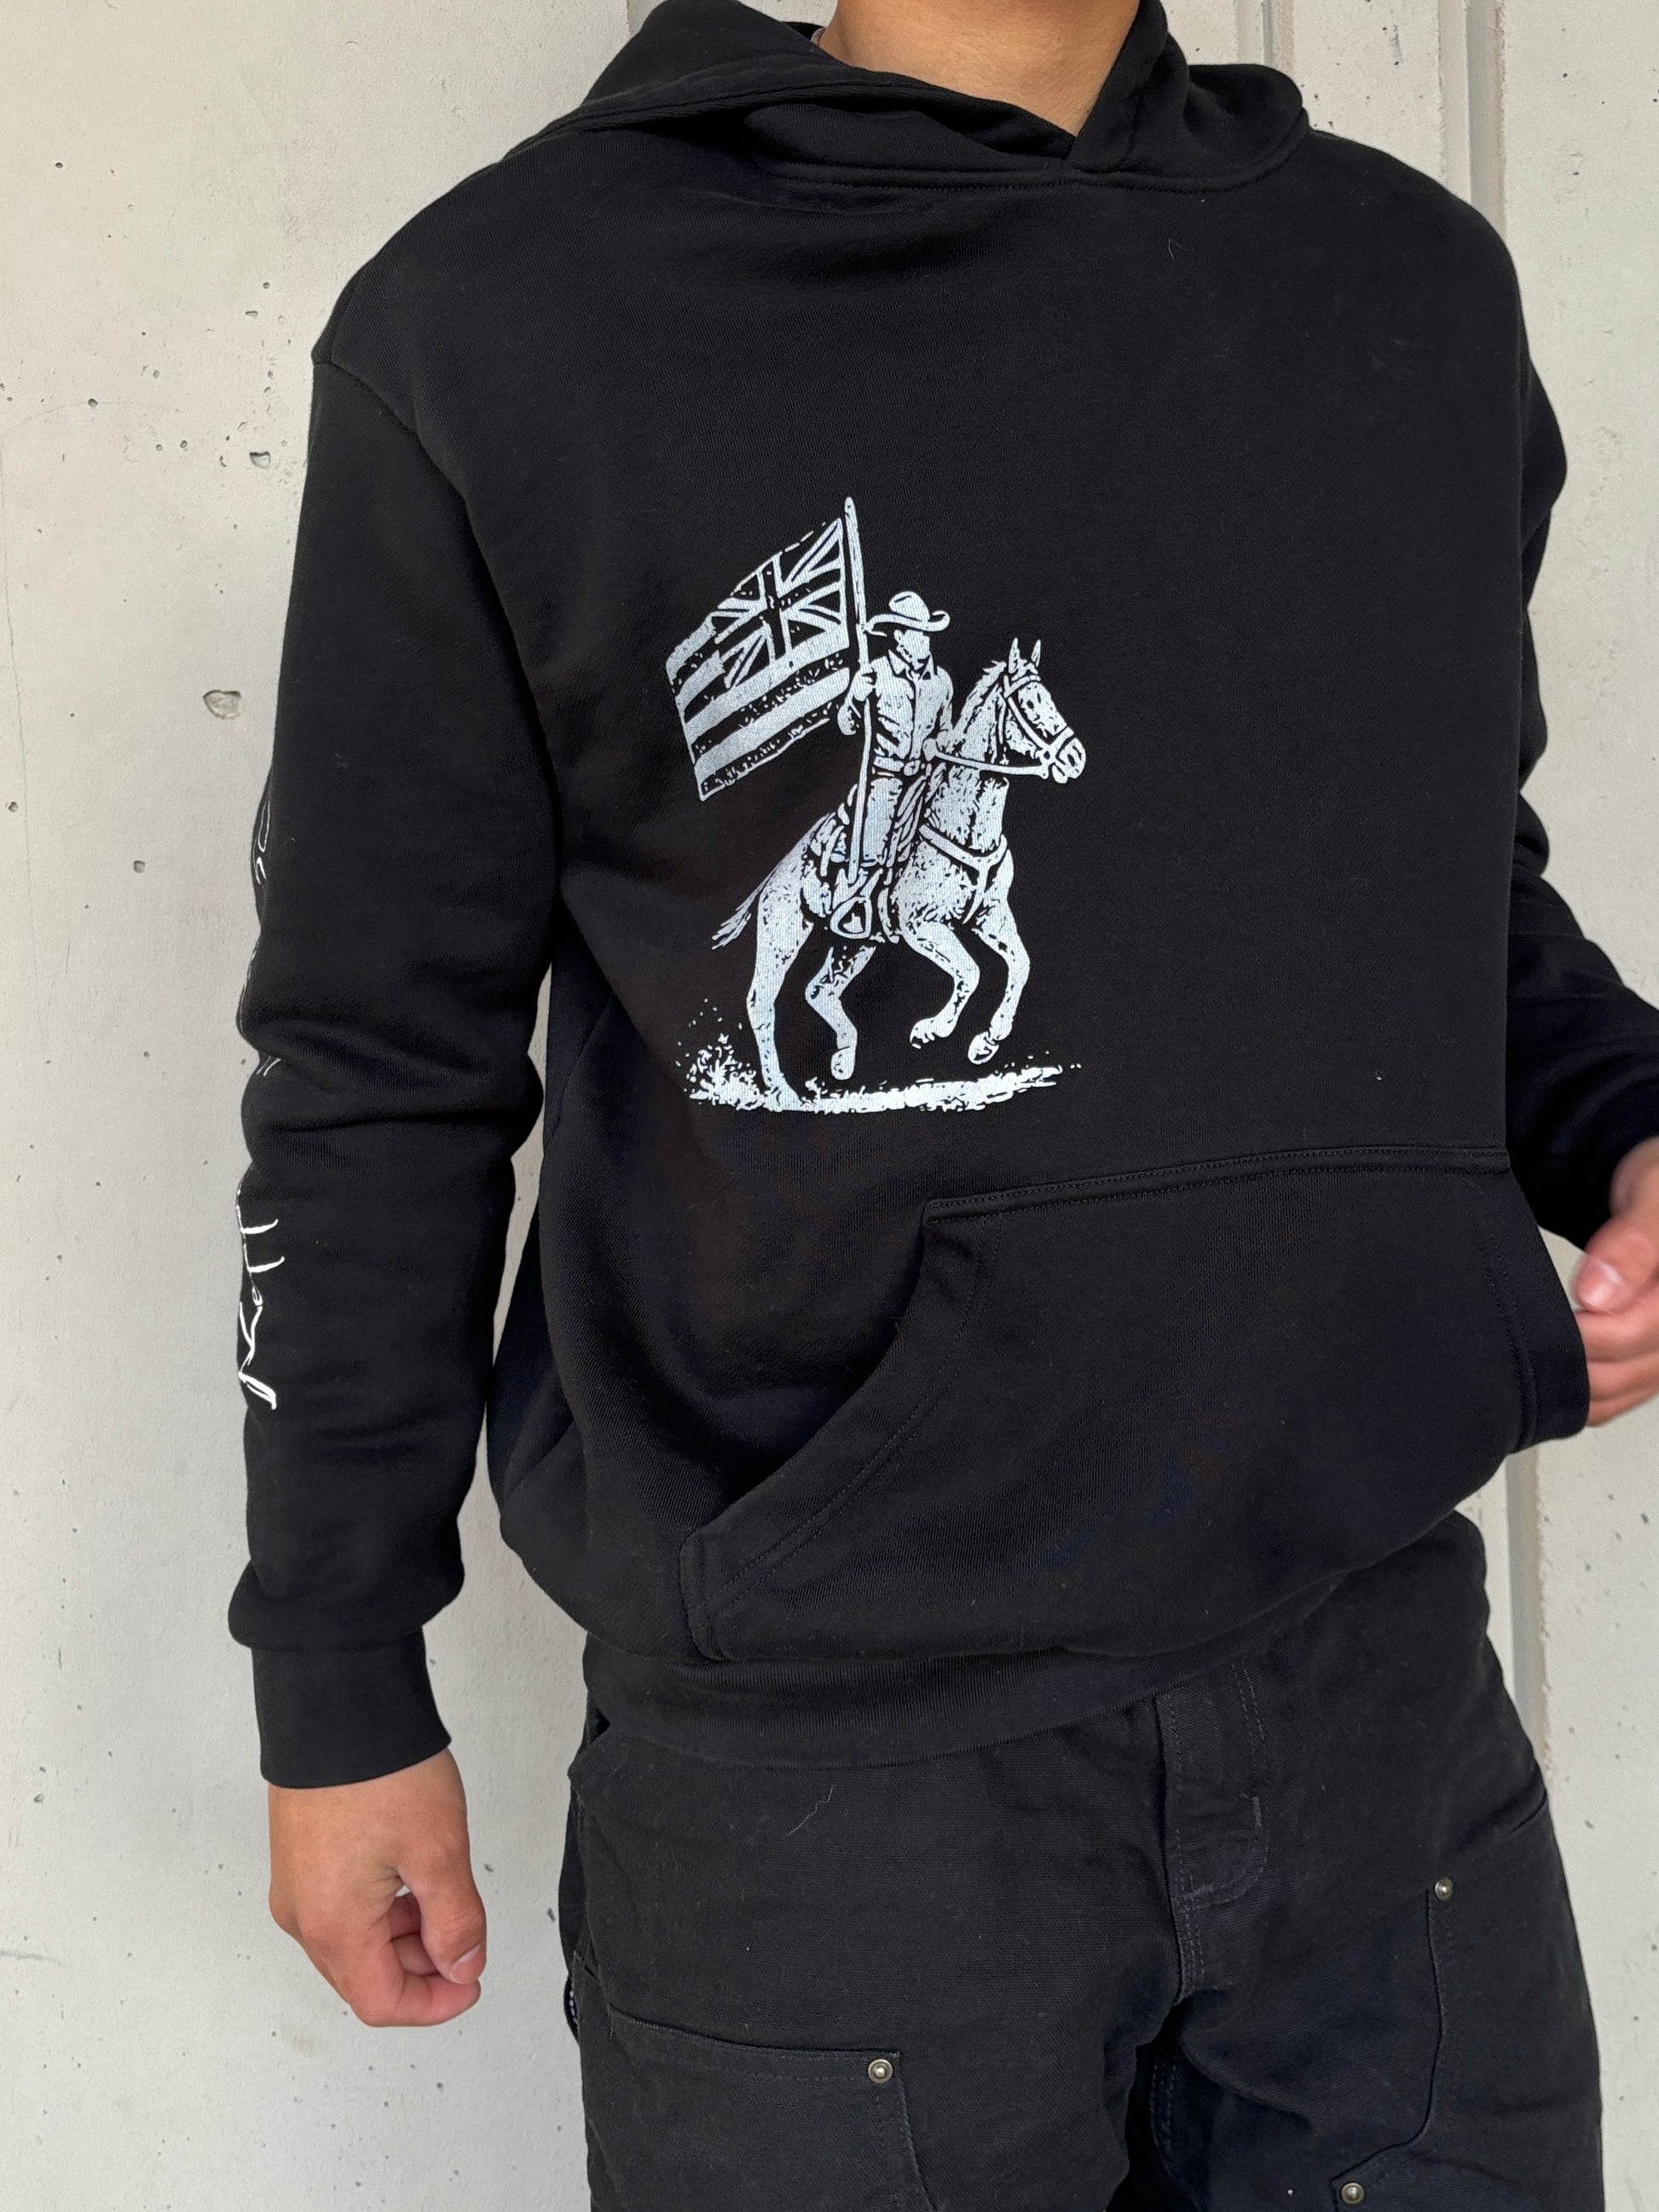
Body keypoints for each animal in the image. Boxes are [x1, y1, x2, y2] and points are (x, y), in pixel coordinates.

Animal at [711, 639, 1087, 1105]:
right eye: (1031, 703)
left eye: (1049, 696)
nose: (1076, 758)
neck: (960, 825)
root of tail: (775, 874)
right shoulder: (921, 926)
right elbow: (971, 971)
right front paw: (932, 1030)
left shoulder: (990, 914)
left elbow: (1020, 963)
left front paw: (987, 1041)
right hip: (783, 936)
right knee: (761, 1002)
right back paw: (781, 1091)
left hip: (854, 944)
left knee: (820, 990)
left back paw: (843, 1059)